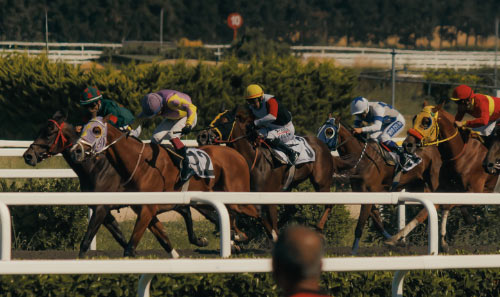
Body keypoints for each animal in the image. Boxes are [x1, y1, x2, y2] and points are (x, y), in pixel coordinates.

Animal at [21, 111, 208, 256]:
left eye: (49, 133)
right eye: (40, 130)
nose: (28, 155)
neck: (96, 166)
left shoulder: (101, 208)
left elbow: (86, 242)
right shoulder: (105, 211)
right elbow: (121, 238)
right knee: (184, 210)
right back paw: (197, 241)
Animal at [71, 114, 270, 256]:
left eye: (96, 130)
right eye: (82, 130)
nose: (76, 150)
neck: (140, 164)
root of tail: (237, 154)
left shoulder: (144, 209)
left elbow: (128, 247)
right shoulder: (145, 210)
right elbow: (163, 240)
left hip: (236, 195)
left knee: (257, 212)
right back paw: (239, 237)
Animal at [196, 107, 336, 240]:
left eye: (224, 120)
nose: (202, 136)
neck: (253, 159)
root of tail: (322, 144)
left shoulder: (270, 198)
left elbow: (268, 221)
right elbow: (254, 216)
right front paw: (242, 236)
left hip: (321, 182)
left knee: (329, 203)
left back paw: (319, 228)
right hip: (289, 186)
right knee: (291, 209)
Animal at [396, 104, 498, 250]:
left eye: (426, 121)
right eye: (415, 118)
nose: (407, 144)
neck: (461, 154)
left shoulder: (476, 190)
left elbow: (449, 204)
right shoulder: (449, 188)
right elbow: (449, 206)